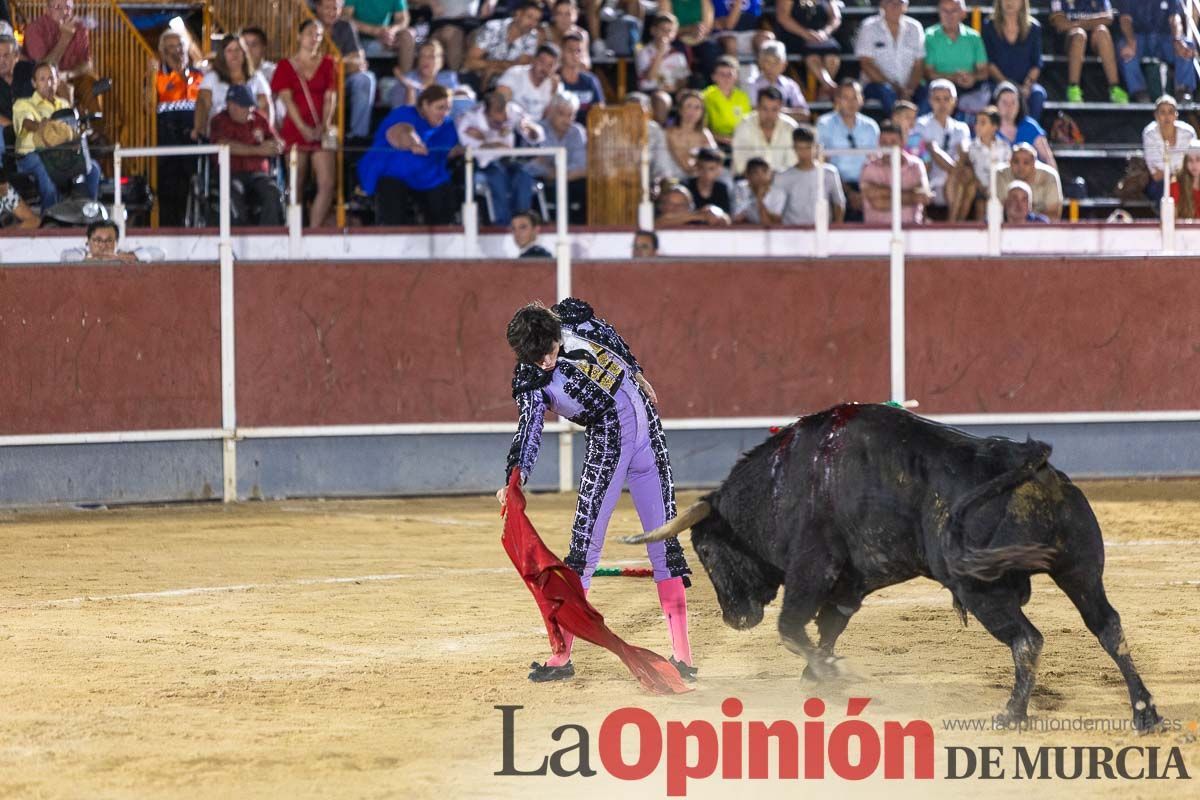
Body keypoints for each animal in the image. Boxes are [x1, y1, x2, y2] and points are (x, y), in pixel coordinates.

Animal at [628, 402, 1161, 734]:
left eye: (705, 552)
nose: (734, 618)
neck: (786, 482)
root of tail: (1023, 462)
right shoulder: (850, 583)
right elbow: (828, 627)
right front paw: (817, 677)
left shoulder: (812, 568)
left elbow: (793, 628)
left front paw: (832, 674)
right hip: (1080, 569)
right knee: (1108, 627)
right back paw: (1144, 713)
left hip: (982, 590)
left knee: (1028, 640)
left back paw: (1011, 715)